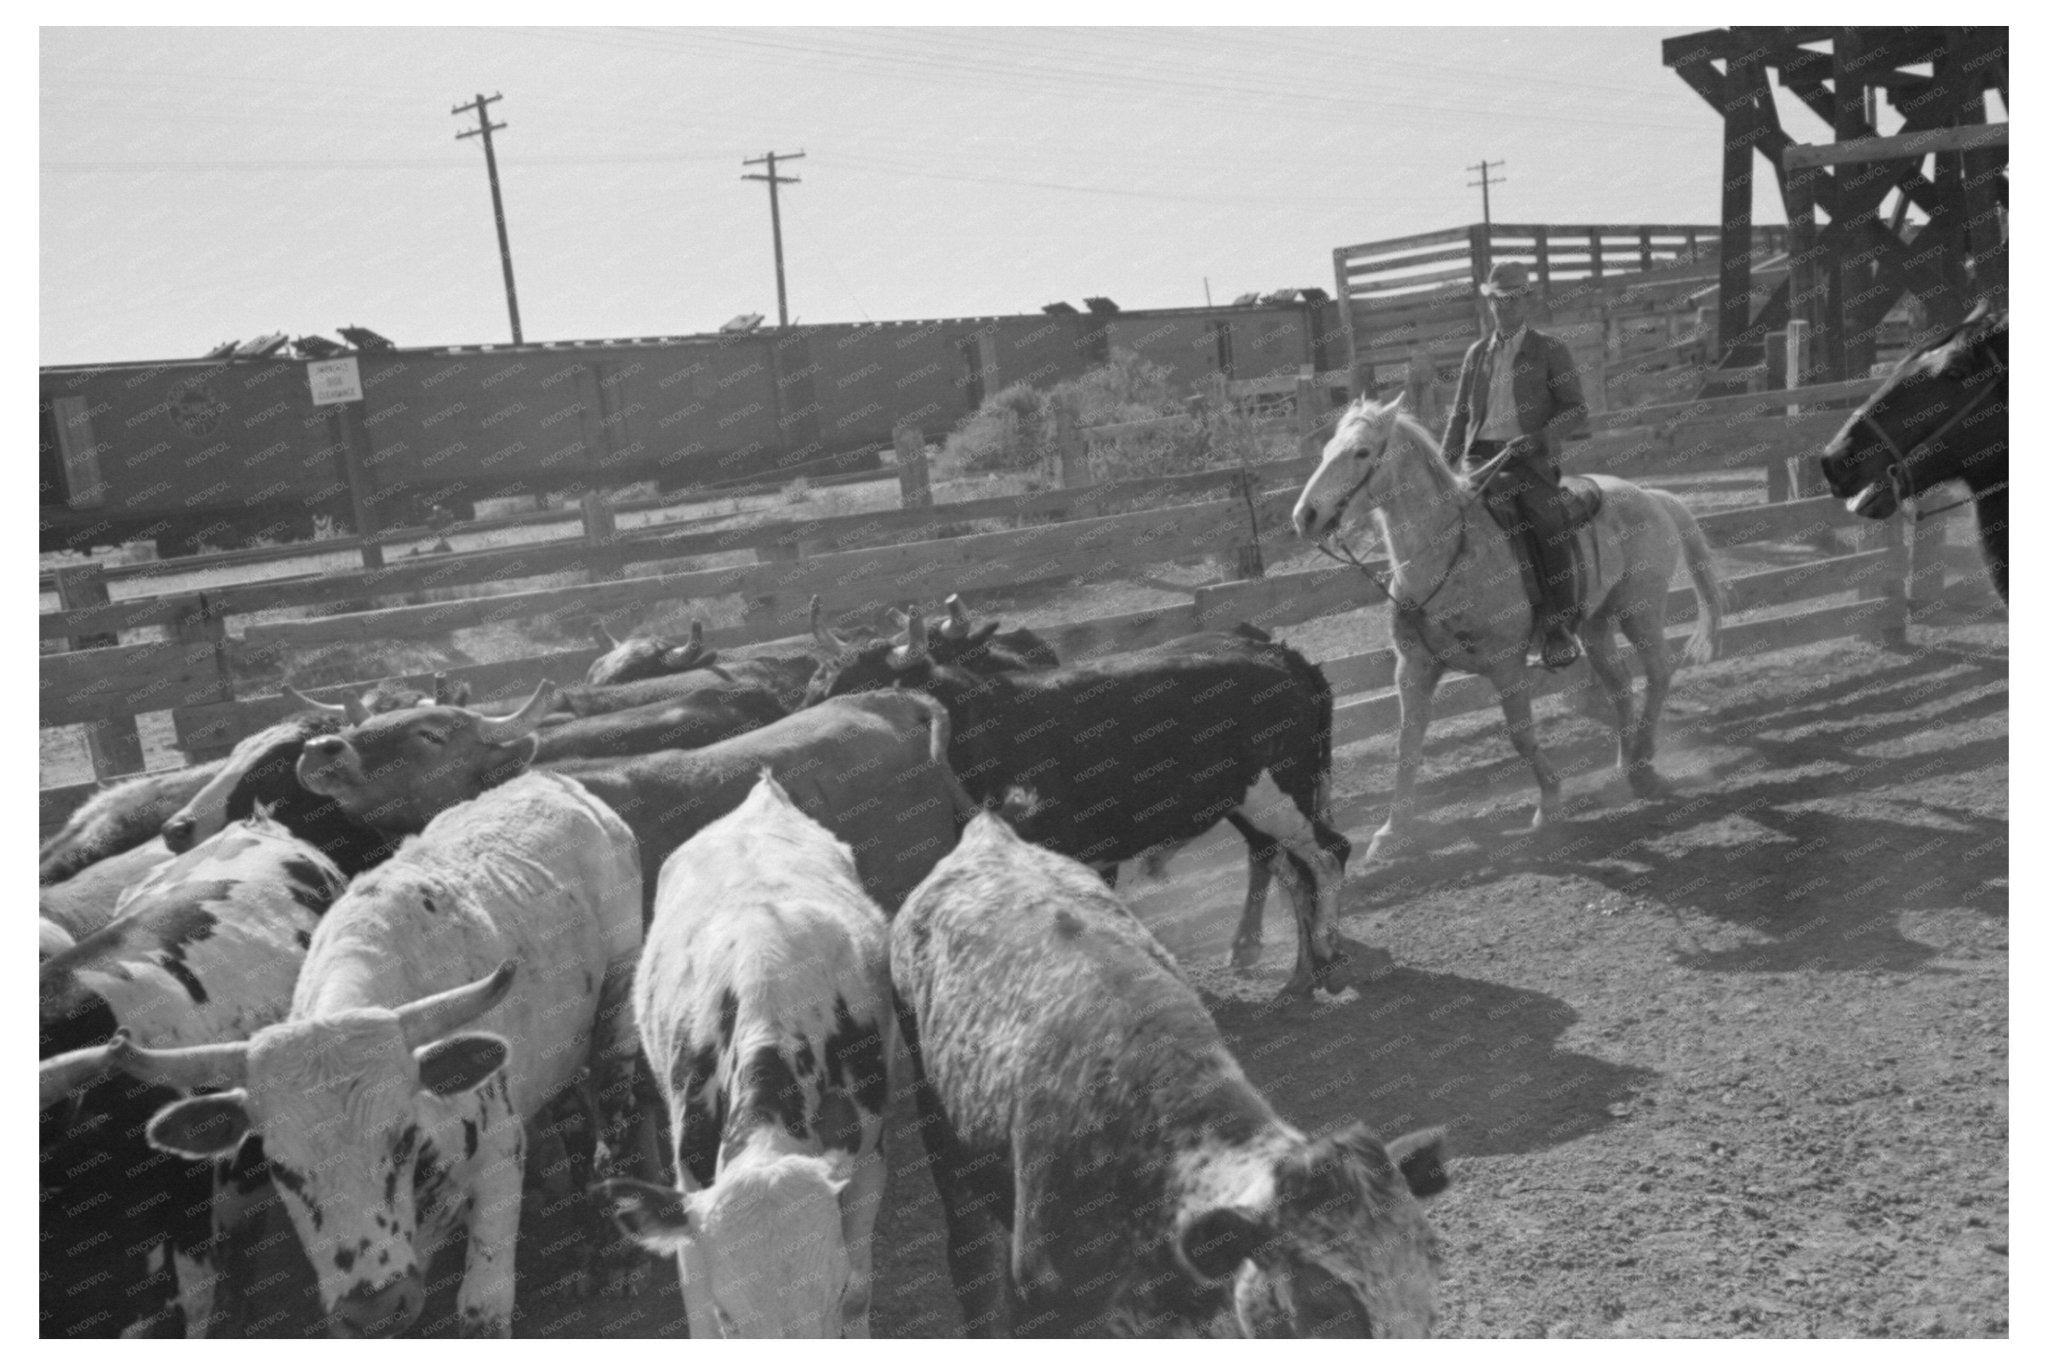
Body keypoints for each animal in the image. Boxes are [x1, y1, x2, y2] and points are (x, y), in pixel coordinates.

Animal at [108, 770, 652, 1337]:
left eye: (402, 1139)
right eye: (281, 1168)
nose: (372, 1309)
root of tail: (549, 779)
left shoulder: (499, 1153)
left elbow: (481, 1308)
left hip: (617, 1012)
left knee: (616, 1119)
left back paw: (614, 1258)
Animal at [808, 608, 1359, 998]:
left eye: (862, 688)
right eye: (820, 685)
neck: (985, 722)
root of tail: (1284, 658)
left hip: (1282, 792)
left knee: (1328, 854)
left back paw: (1326, 951)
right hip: (1252, 805)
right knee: (1291, 870)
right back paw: (1301, 974)